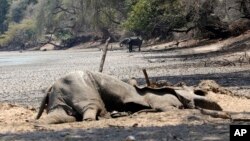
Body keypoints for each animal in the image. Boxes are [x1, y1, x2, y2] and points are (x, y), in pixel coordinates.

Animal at [36, 70, 222, 123]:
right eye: (197, 91)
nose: (203, 92)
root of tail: (52, 86)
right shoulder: (162, 100)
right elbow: (169, 108)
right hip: (82, 88)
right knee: (92, 108)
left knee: (65, 115)